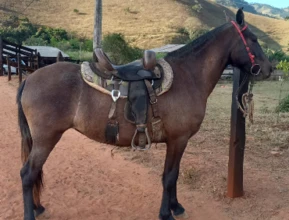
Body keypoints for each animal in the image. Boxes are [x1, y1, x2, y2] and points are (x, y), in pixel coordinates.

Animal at [17, 8, 270, 220]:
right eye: (254, 40)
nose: (269, 68)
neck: (188, 76)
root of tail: (30, 78)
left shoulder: (176, 141)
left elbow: (174, 174)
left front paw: (176, 207)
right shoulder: (178, 140)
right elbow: (169, 177)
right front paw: (166, 213)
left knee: (34, 173)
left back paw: (37, 207)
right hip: (46, 139)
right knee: (28, 174)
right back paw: (30, 214)